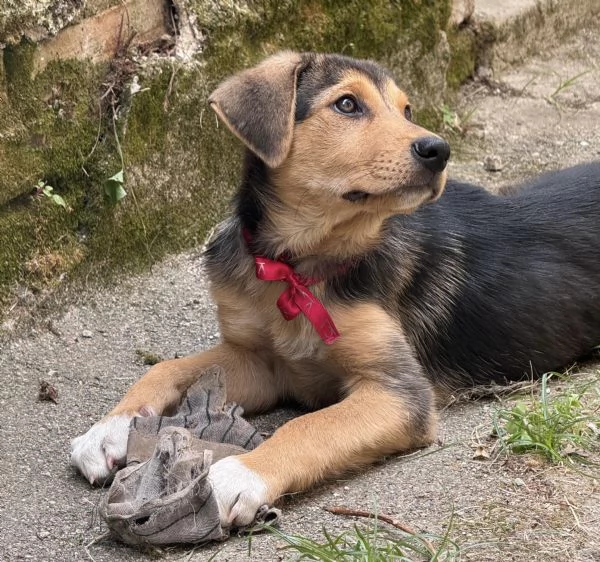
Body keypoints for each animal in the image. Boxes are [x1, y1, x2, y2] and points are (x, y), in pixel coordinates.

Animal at [71, 51, 600, 524]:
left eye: (407, 110)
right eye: (347, 104)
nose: (439, 151)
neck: (298, 265)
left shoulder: (398, 391)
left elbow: (310, 426)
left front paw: (235, 476)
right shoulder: (260, 362)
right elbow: (166, 368)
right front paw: (110, 428)